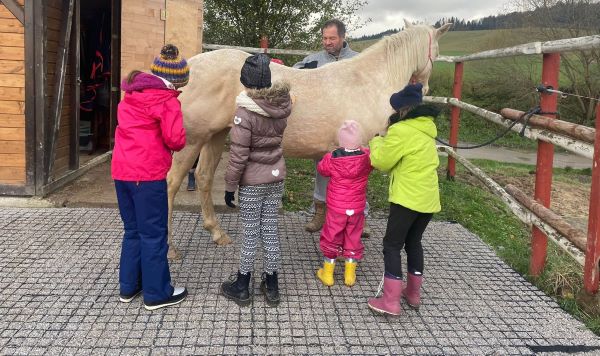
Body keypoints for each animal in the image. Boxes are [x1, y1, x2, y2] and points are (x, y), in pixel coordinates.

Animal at [164, 20, 450, 258]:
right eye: (436, 52)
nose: (425, 88)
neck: (367, 82)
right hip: (193, 140)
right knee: (171, 183)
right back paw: (171, 249)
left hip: (216, 135)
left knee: (203, 176)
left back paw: (217, 233)